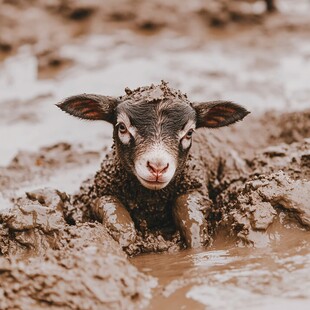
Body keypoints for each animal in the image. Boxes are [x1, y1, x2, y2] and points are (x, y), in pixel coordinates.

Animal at [57, 81, 249, 249]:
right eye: (122, 127)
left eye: (189, 133)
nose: (157, 167)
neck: (151, 201)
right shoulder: (98, 193)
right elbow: (113, 208)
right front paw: (125, 238)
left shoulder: (197, 188)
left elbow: (185, 207)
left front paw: (196, 241)